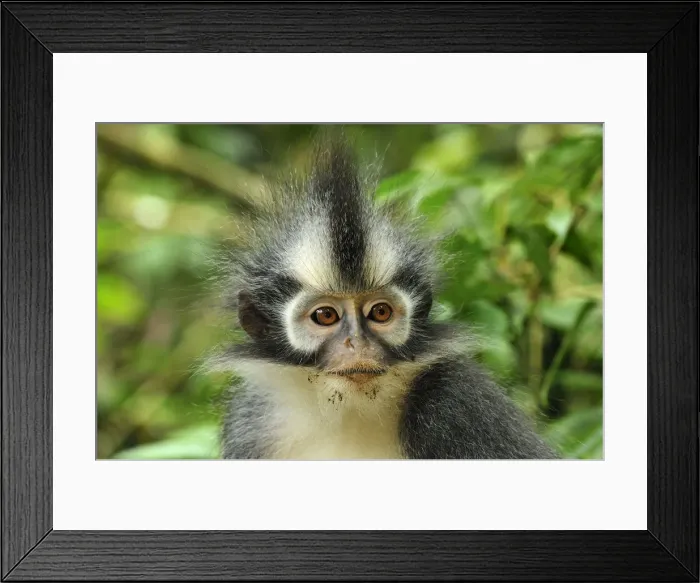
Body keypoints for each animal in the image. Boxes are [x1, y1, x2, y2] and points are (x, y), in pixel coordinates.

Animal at [213, 136, 558, 460]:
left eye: (380, 312)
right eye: (325, 315)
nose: (358, 344)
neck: (347, 413)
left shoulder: (456, 401)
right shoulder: (252, 423)